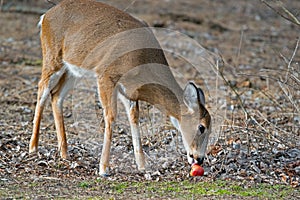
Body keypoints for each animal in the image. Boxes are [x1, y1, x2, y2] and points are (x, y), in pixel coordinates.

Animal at [28, 0, 211, 175]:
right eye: (201, 127)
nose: (199, 159)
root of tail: (45, 16)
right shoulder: (106, 75)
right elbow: (111, 116)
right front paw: (103, 169)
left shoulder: (129, 91)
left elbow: (134, 118)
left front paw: (142, 166)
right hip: (52, 57)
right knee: (42, 88)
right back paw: (33, 148)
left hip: (73, 69)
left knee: (56, 95)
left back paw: (64, 153)